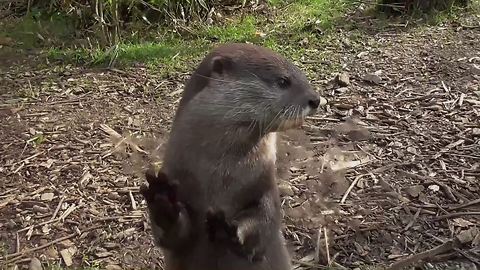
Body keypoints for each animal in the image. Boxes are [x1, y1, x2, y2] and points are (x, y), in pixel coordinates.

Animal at [142, 43, 322, 268]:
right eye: (283, 81)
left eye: (302, 75)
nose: (315, 99)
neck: (219, 176)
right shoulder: (177, 174)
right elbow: (173, 236)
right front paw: (162, 199)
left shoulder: (264, 181)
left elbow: (267, 216)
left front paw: (230, 229)